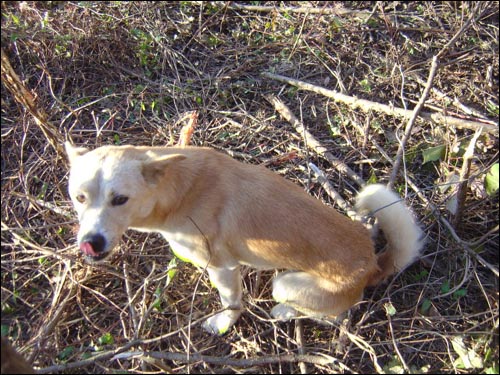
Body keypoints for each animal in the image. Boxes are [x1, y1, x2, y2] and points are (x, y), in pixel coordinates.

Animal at [64, 143, 424, 334]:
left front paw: (224, 324)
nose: (91, 242)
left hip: (285, 284)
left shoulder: (222, 268)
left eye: (120, 199)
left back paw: (285, 313)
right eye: (79, 198)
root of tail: (372, 265)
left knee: (334, 315)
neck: (178, 191)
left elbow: (232, 303)